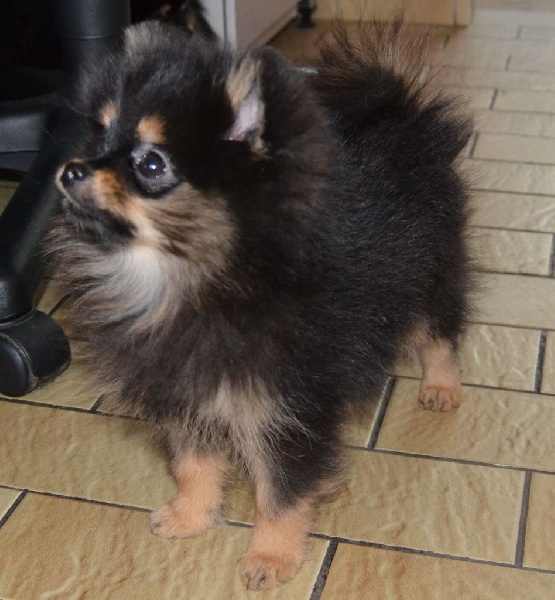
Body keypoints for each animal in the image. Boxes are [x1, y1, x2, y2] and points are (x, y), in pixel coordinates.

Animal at [49, 17, 473, 590]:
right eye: (101, 136)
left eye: (152, 164)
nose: (71, 170)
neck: (194, 281)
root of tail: (404, 113)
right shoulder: (188, 392)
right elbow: (193, 464)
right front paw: (191, 516)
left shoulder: (286, 408)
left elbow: (281, 490)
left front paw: (271, 557)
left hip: (432, 270)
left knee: (438, 331)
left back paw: (441, 386)